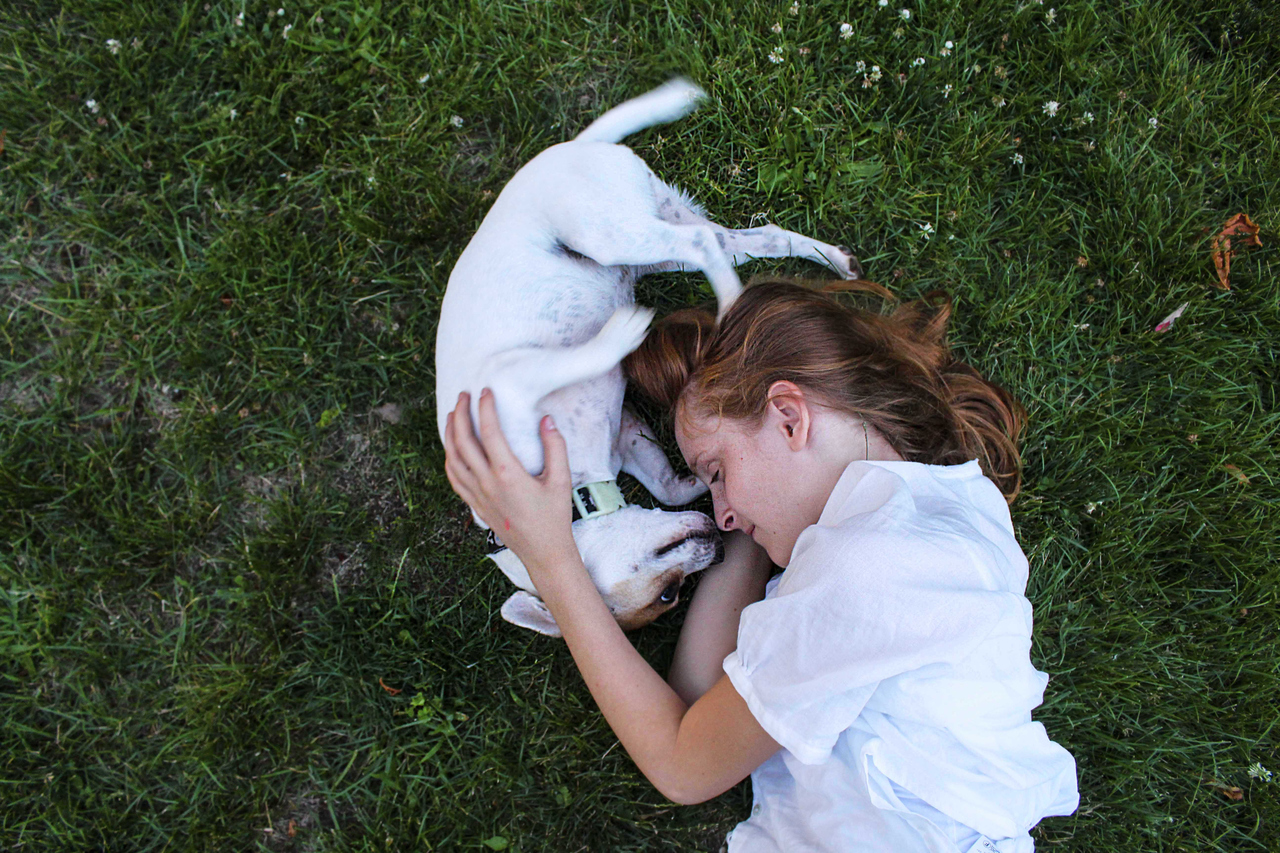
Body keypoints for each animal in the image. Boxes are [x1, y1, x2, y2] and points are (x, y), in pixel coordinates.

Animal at [435, 79, 865, 635]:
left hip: (607, 233)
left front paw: (623, 332)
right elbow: (668, 489)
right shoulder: (626, 431)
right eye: (669, 595)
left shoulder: (514, 378)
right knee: (746, 239)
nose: (719, 542)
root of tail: (579, 145)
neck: (572, 495)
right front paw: (696, 480)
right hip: (661, 236)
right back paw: (830, 261)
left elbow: (585, 355)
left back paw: (729, 306)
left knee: (703, 244)